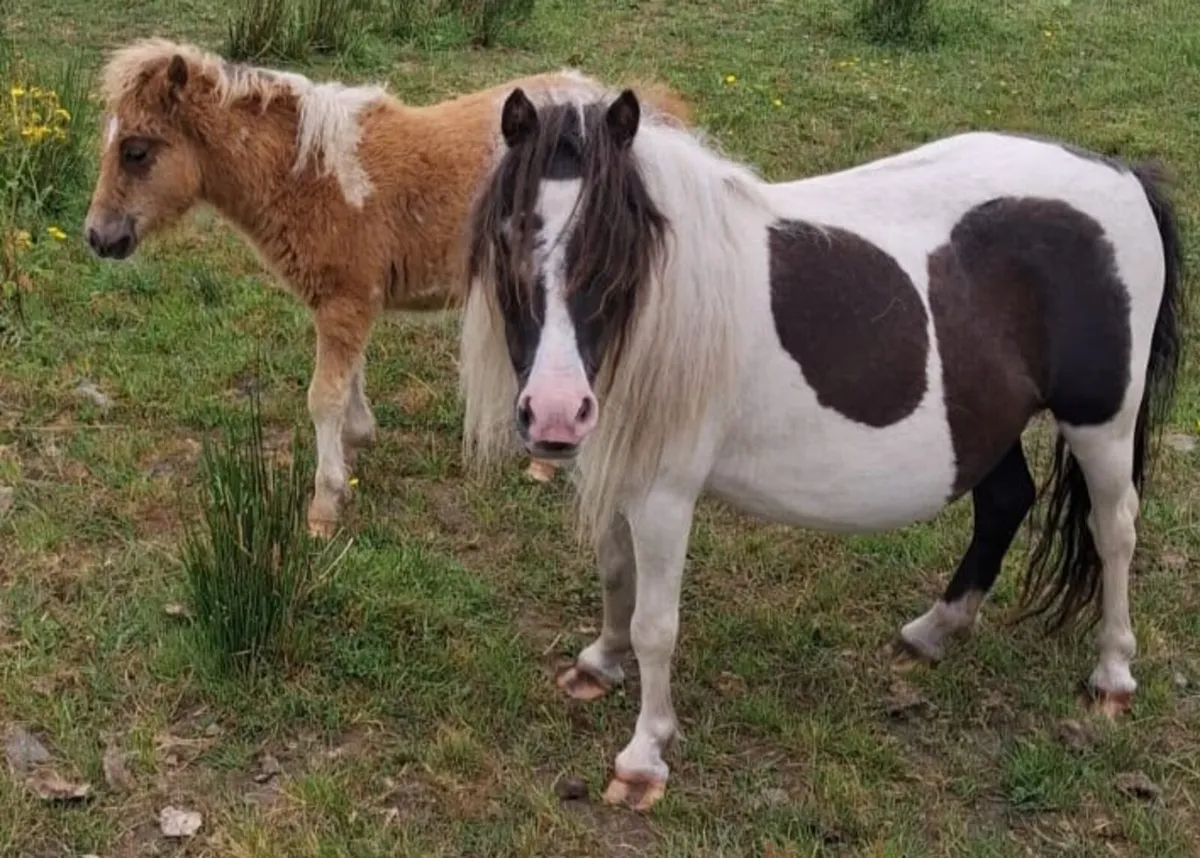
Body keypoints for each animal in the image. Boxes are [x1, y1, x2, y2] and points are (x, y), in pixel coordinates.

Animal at [81, 39, 693, 537]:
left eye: (136, 150)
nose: (98, 236)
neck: (310, 175)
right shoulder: (347, 302)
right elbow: (350, 378)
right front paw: (359, 439)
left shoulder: (345, 300)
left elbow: (323, 396)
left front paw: (324, 505)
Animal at [460, 85, 1184, 811]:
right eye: (508, 234)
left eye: (615, 247)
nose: (555, 413)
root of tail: (1123, 176)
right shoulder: (615, 465)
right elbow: (616, 574)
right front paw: (601, 663)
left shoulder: (664, 493)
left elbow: (655, 624)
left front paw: (646, 754)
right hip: (987, 419)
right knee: (1006, 501)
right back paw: (934, 631)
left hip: (1102, 426)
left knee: (1115, 531)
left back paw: (1113, 672)